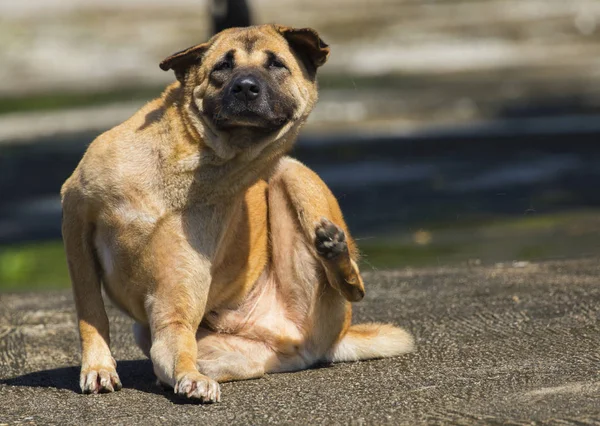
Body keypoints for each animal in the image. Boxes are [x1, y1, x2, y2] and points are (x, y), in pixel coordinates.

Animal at [63, 24, 414, 402]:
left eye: (276, 64)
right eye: (222, 66)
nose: (245, 87)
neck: (195, 165)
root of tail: (313, 346)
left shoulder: (173, 303)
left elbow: (173, 347)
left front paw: (188, 377)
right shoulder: (76, 221)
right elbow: (92, 313)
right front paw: (98, 367)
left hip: (291, 171)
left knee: (354, 288)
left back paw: (335, 252)